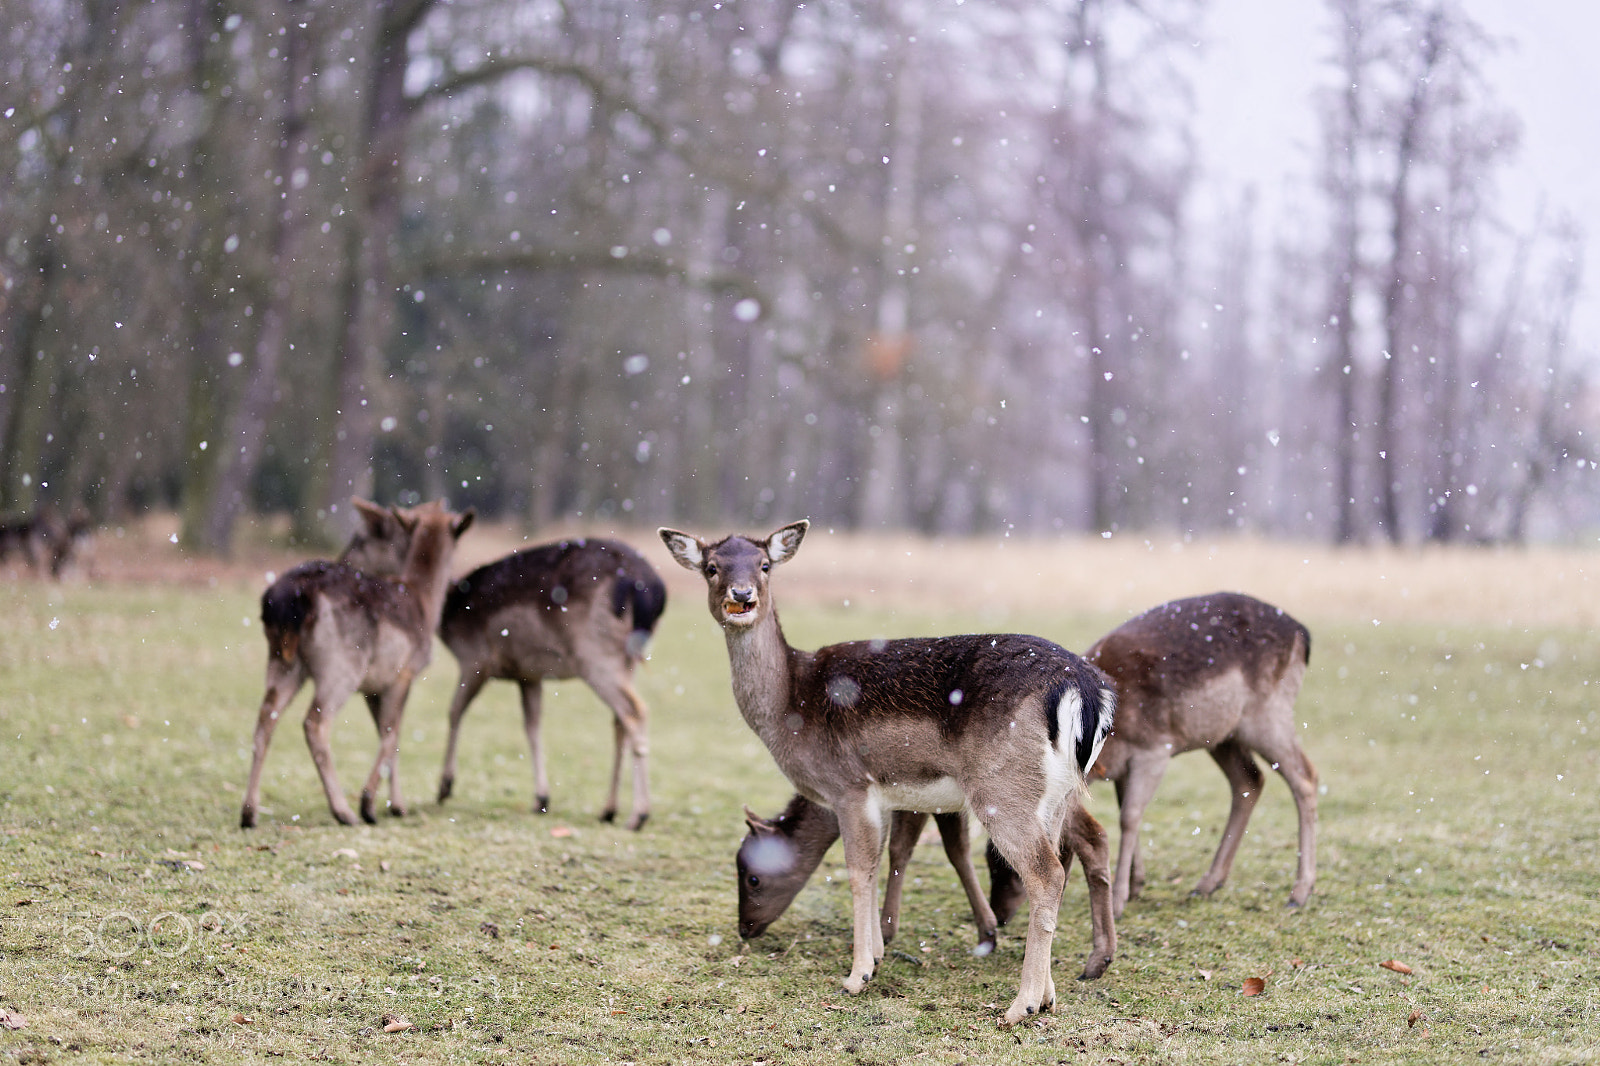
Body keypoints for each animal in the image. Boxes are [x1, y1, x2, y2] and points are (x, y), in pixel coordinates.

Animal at [240, 499, 474, 829]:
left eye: (361, 538)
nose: (456, 582)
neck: (424, 602)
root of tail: (290, 599)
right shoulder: (405, 672)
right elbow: (392, 735)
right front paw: (369, 804)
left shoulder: (373, 686)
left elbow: (388, 736)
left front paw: (396, 805)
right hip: (342, 666)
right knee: (314, 722)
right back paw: (343, 811)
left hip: (281, 661)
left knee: (265, 718)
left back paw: (249, 812)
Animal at [338, 503, 666, 830]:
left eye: (363, 538)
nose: (343, 562)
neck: (450, 615)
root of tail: (649, 588)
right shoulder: (529, 673)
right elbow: (532, 724)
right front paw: (541, 798)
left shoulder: (475, 659)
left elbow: (454, 711)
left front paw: (445, 786)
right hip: (626, 660)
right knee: (619, 722)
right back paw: (608, 809)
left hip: (596, 655)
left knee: (635, 711)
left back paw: (639, 814)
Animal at [659, 521, 1117, 1026]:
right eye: (711, 567)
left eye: (764, 565)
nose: (741, 596)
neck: (789, 708)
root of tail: (1086, 691)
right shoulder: (887, 797)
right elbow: (884, 860)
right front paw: (877, 954)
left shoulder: (849, 785)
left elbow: (859, 869)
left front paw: (858, 974)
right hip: (1055, 796)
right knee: (1064, 858)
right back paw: (1051, 993)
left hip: (1003, 790)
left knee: (1046, 873)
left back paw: (1023, 1004)